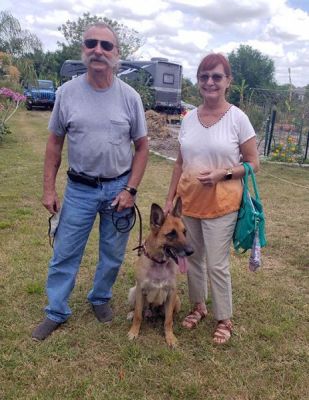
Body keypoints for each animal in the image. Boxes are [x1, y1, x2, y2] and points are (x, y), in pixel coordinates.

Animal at [127, 198, 192, 346]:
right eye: (171, 234)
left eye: (184, 232)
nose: (191, 251)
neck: (159, 263)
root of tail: (152, 312)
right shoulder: (140, 290)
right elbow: (138, 315)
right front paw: (134, 332)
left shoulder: (171, 293)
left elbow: (168, 320)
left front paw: (170, 337)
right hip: (133, 292)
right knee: (139, 310)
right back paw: (132, 314)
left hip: (177, 300)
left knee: (168, 315)